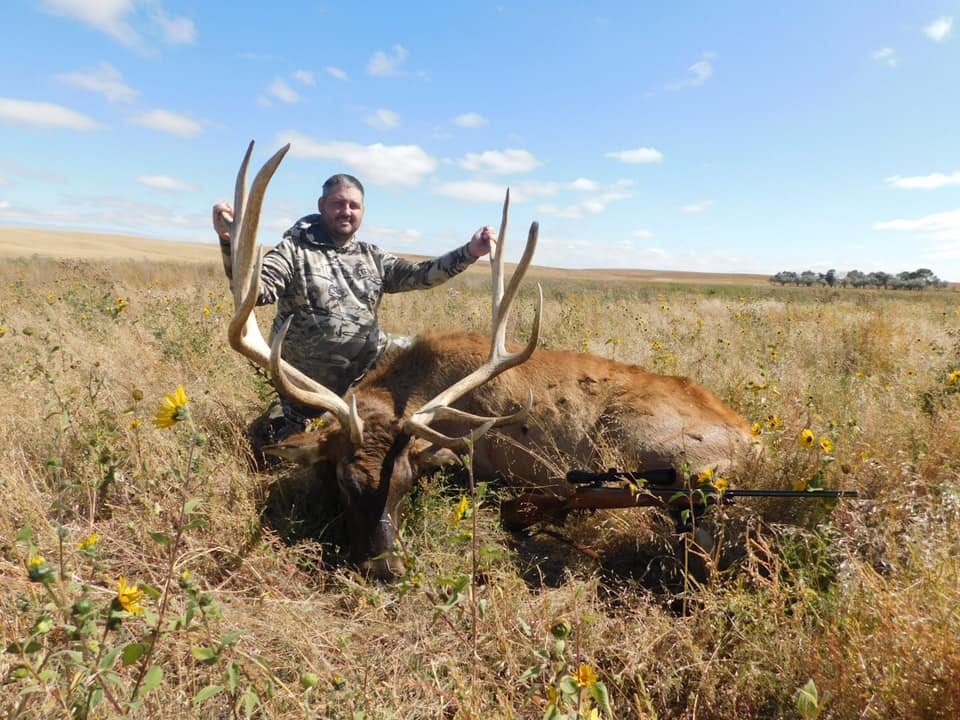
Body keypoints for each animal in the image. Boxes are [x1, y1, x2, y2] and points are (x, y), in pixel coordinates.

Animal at [226, 142, 759, 580]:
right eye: (342, 477)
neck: (413, 385)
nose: (388, 567)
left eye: (406, 482)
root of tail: (753, 440)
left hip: (643, 448)